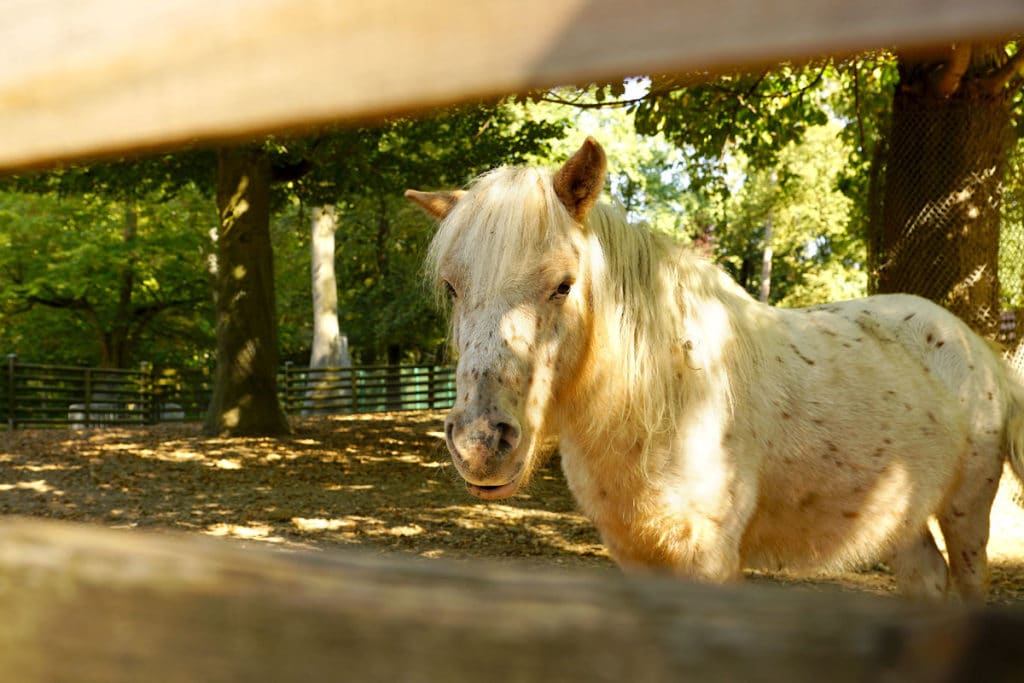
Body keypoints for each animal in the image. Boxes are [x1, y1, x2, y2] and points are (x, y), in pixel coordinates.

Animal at [407, 137, 1024, 598]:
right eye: (452, 288)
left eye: (564, 284)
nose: (481, 443)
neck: (668, 397)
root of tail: (969, 342)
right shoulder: (635, 553)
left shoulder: (708, 559)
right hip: (904, 517)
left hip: (967, 514)